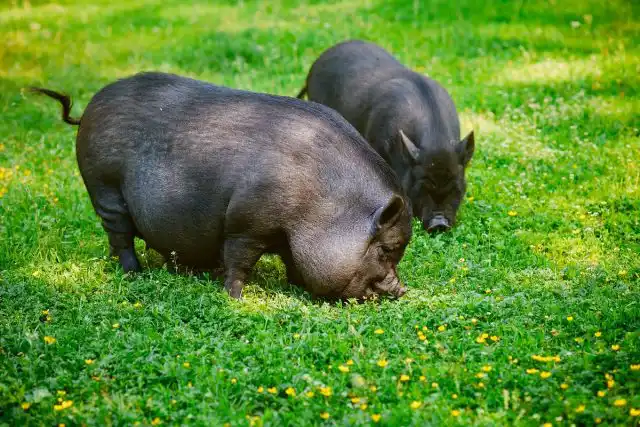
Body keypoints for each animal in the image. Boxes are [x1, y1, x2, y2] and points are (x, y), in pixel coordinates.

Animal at [30, 71, 412, 300]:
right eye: (386, 249)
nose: (402, 289)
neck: (322, 203)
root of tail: (86, 111)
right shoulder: (246, 223)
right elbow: (239, 260)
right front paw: (235, 297)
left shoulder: (285, 235)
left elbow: (292, 261)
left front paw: (293, 285)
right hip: (104, 186)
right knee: (120, 235)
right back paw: (133, 274)